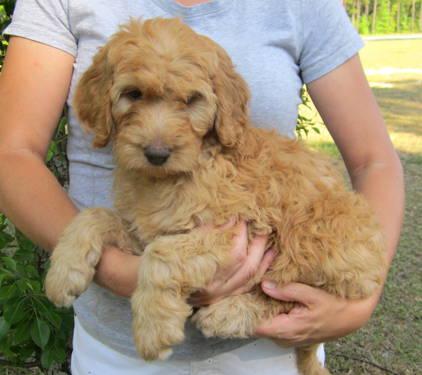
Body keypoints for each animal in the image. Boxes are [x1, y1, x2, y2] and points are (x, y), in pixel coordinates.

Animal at [45, 18, 386, 375]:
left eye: (192, 100)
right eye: (133, 94)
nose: (156, 154)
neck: (174, 176)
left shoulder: (235, 232)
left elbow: (161, 254)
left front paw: (154, 328)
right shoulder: (141, 231)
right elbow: (94, 216)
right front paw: (63, 272)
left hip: (314, 232)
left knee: (288, 297)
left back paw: (229, 313)